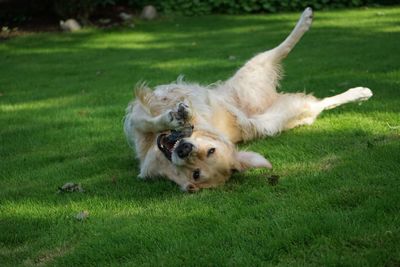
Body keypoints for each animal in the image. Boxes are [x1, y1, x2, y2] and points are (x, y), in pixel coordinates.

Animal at [123, 8, 374, 193]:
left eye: (198, 171)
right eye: (210, 151)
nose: (185, 149)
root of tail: (267, 99)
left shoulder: (142, 119)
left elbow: (149, 120)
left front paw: (177, 116)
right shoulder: (142, 121)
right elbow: (150, 120)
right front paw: (176, 117)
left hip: (260, 88)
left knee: (283, 52)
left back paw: (307, 20)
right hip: (263, 93)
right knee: (317, 98)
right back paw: (359, 91)